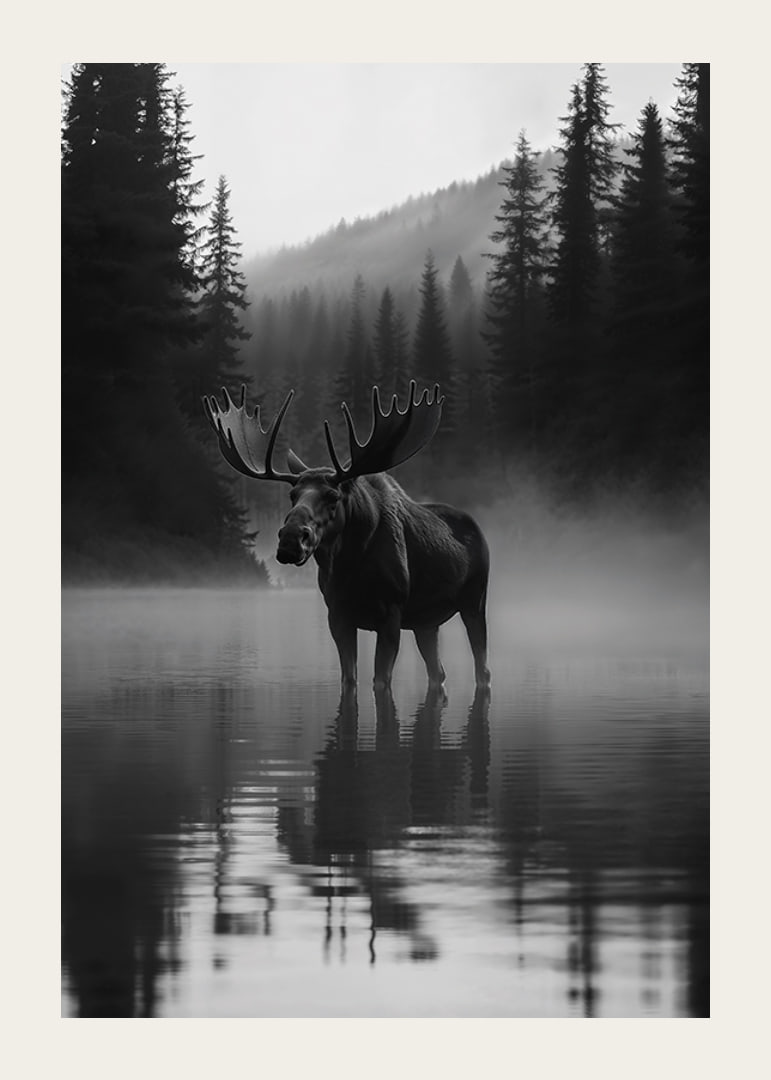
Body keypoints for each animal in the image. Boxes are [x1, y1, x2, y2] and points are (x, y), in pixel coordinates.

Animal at [203, 381, 490, 694]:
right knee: (437, 672)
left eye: (333, 496)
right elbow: (349, 680)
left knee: (482, 669)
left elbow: (380, 682)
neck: (349, 565)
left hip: (474, 602)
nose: (290, 540)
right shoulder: (338, 616)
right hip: (426, 622)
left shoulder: (391, 614)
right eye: (292, 495)